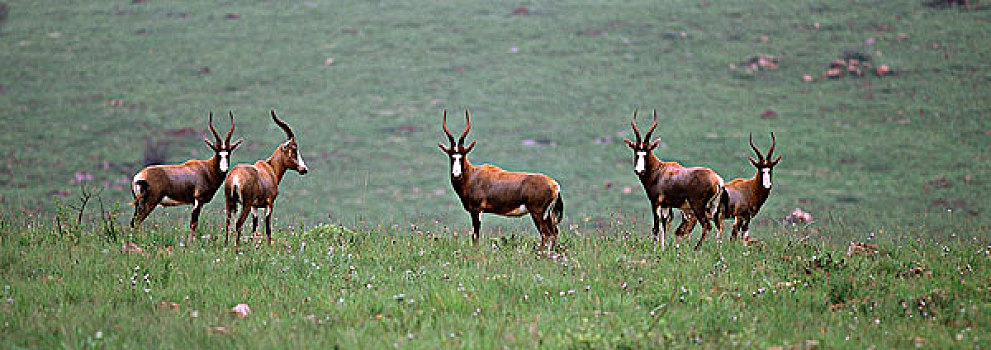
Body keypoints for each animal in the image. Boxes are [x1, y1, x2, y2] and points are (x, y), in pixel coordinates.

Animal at [131, 112, 243, 241]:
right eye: (217, 153)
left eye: (228, 153)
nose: (224, 170)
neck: (205, 169)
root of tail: (139, 176)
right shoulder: (198, 201)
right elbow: (193, 223)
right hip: (150, 203)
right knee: (138, 221)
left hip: (139, 204)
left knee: (133, 222)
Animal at [224, 109, 306, 246]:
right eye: (294, 149)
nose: (304, 169)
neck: (269, 168)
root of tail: (235, 177)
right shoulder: (269, 203)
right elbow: (268, 228)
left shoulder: (255, 207)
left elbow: (254, 228)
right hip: (245, 204)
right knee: (239, 223)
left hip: (230, 202)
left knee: (228, 222)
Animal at [436, 110, 564, 250]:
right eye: (451, 156)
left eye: (462, 155)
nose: (456, 175)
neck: (473, 175)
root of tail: (555, 185)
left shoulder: (476, 210)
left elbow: (475, 236)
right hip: (547, 215)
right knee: (554, 233)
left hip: (537, 213)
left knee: (546, 234)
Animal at [624, 109, 724, 249]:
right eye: (636, 151)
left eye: (647, 151)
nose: (639, 170)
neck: (659, 171)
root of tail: (717, 180)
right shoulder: (666, 205)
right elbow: (664, 226)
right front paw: (662, 249)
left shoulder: (656, 203)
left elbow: (656, 227)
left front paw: (654, 249)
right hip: (714, 207)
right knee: (719, 228)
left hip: (698, 206)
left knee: (707, 226)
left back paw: (696, 250)